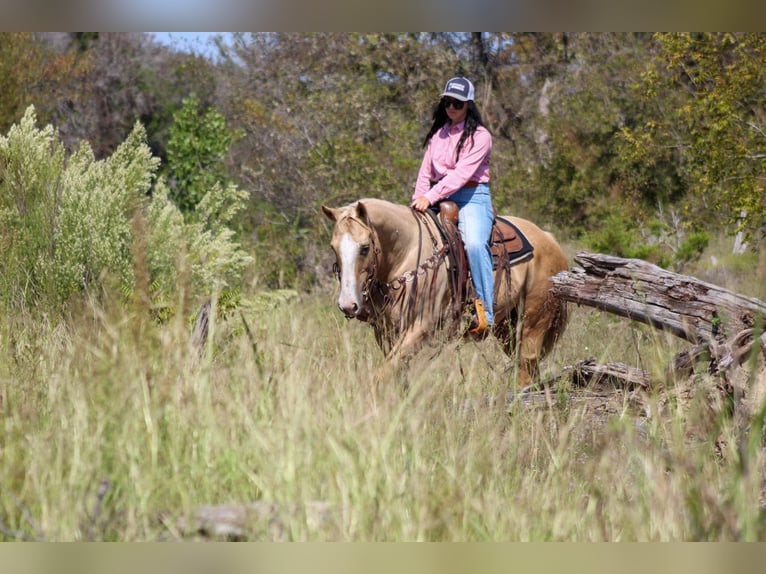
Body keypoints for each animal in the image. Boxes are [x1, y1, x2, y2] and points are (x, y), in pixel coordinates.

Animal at [321, 198, 569, 387]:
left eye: (364, 248)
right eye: (333, 248)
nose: (348, 305)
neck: (408, 254)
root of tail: (549, 239)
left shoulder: (420, 328)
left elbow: (383, 374)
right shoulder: (386, 332)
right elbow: (396, 374)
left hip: (533, 324)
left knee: (526, 369)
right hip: (507, 329)